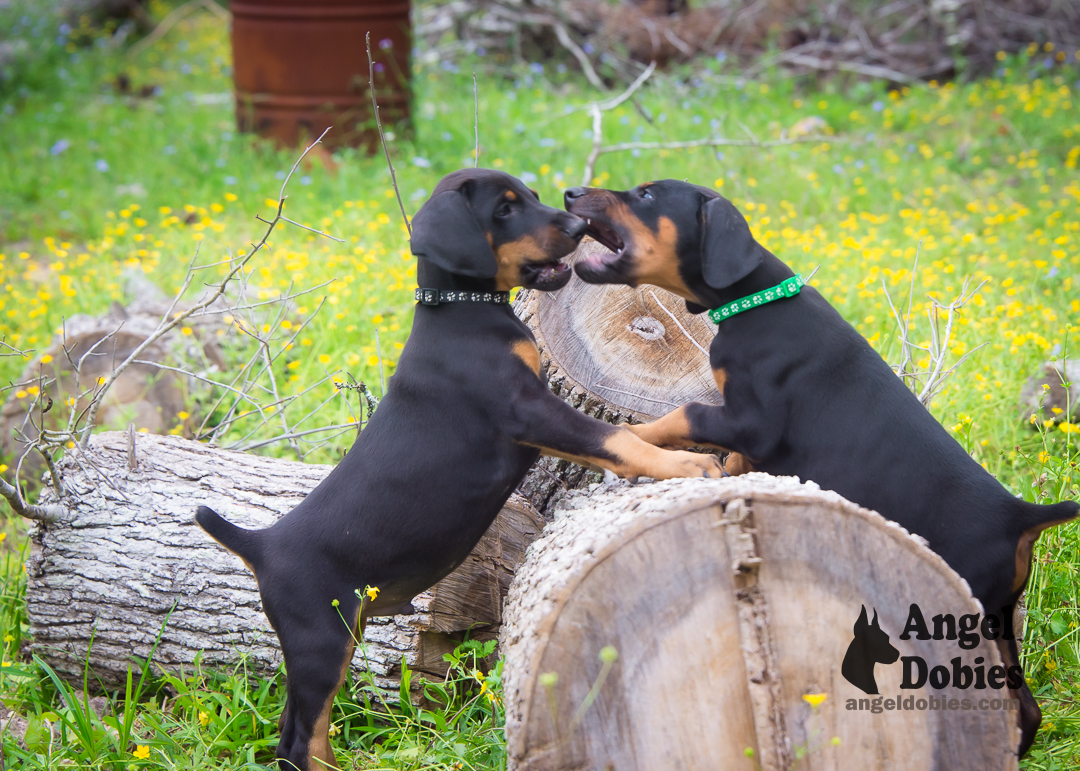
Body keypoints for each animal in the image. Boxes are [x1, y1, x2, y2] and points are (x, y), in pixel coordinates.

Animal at [197, 169, 721, 768]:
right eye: (504, 211)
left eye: (532, 197)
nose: (575, 224)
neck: (461, 310)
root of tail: (260, 546)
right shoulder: (527, 409)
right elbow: (615, 438)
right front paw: (686, 463)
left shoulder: (543, 413)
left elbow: (631, 432)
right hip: (320, 640)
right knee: (297, 738)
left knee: (306, 731)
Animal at [565, 178, 1080, 751]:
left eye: (647, 195)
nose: (570, 193)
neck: (754, 304)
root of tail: (1021, 515)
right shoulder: (749, 436)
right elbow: (734, 458)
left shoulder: (752, 419)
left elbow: (684, 413)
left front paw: (627, 438)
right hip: (1000, 615)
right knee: (1026, 709)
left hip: (964, 607)